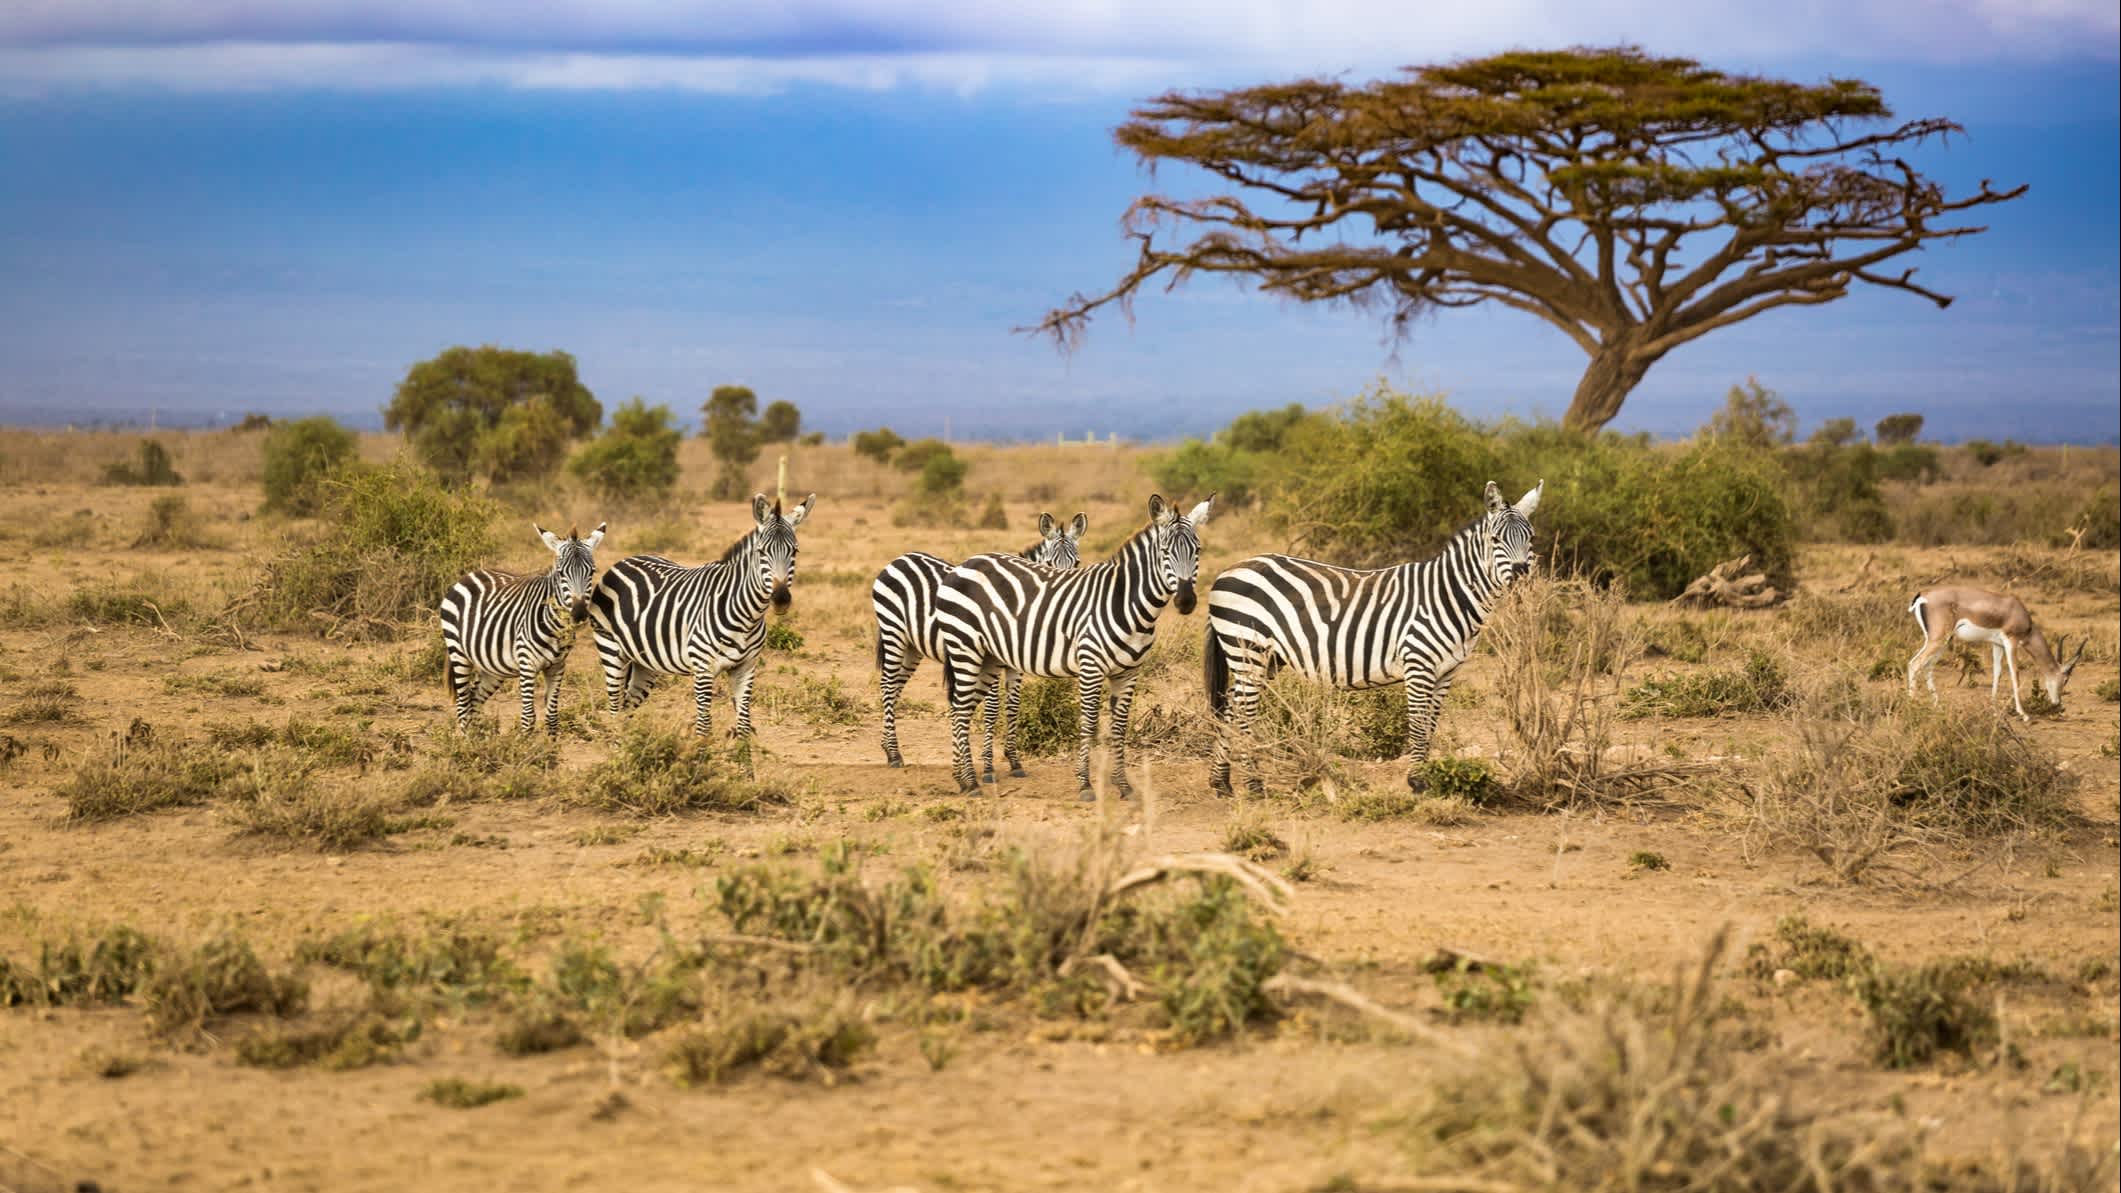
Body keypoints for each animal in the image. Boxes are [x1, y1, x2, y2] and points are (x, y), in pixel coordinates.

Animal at [439, 520, 606, 734]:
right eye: (561, 573)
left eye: (592, 572)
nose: (579, 613)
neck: (556, 628)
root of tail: (470, 574)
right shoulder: (527, 664)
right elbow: (528, 717)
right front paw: (525, 743)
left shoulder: (557, 666)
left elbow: (552, 716)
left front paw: (551, 744)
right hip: (458, 652)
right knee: (462, 703)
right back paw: (465, 740)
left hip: (493, 665)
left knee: (474, 698)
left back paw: (478, 740)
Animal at [593, 490, 814, 734]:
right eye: (761, 552)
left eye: (794, 551)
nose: (781, 599)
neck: (748, 617)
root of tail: (625, 560)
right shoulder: (703, 668)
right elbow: (704, 727)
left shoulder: (746, 667)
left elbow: (744, 726)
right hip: (610, 649)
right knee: (615, 710)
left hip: (645, 662)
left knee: (627, 709)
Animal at [869, 509, 1085, 772]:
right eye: (1051, 564)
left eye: (1077, 563)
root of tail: (899, 558)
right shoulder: (991, 657)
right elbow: (992, 710)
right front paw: (988, 764)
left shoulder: (1015, 665)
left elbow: (1013, 707)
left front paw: (1014, 760)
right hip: (893, 632)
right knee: (887, 685)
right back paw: (893, 754)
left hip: (912, 646)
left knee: (896, 687)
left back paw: (888, 746)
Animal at [941, 492, 1221, 798]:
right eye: (1165, 551)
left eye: (1198, 551)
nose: (1186, 601)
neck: (1126, 603)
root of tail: (966, 562)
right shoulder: (1091, 667)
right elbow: (1088, 723)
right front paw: (1085, 783)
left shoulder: (1129, 673)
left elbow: (1119, 728)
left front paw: (1123, 785)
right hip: (965, 648)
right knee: (961, 709)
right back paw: (970, 782)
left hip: (988, 658)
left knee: (960, 709)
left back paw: (960, 777)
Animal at [1213, 477, 1544, 793]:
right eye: (1495, 540)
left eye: (1531, 538)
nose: (1521, 578)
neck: (1448, 595)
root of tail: (1231, 568)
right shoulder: (1418, 665)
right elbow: (1418, 727)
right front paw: (1417, 782)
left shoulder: (1447, 672)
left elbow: (1431, 726)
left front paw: (1428, 778)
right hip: (1248, 650)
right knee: (1243, 713)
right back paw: (1254, 784)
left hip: (1266, 659)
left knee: (1229, 708)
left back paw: (1221, 782)